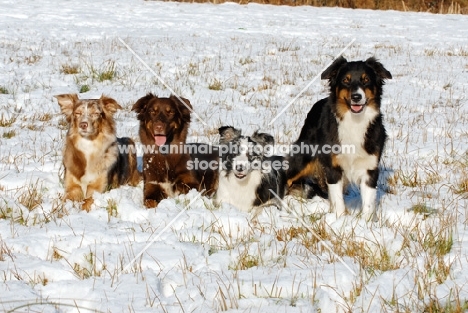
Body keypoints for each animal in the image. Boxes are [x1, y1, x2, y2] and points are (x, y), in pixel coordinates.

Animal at [288, 56, 394, 218]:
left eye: (366, 80)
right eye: (346, 80)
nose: (356, 97)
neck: (354, 121)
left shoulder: (370, 168)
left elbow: (368, 203)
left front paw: (367, 222)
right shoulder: (333, 167)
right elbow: (338, 200)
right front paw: (339, 219)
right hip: (303, 157)